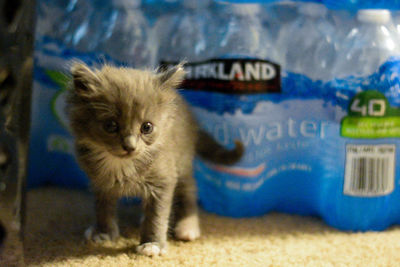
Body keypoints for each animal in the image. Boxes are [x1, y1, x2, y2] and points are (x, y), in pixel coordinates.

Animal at [67, 62, 242, 258]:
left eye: (147, 127)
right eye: (111, 125)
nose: (130, 146)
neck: (120, 165)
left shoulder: (163, 180)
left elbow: (157, 216)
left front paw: (152, 244)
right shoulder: (100, 183)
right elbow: (102, 207)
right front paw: (103, 232)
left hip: (182, 161)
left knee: (189, 189)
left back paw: (187, 227)